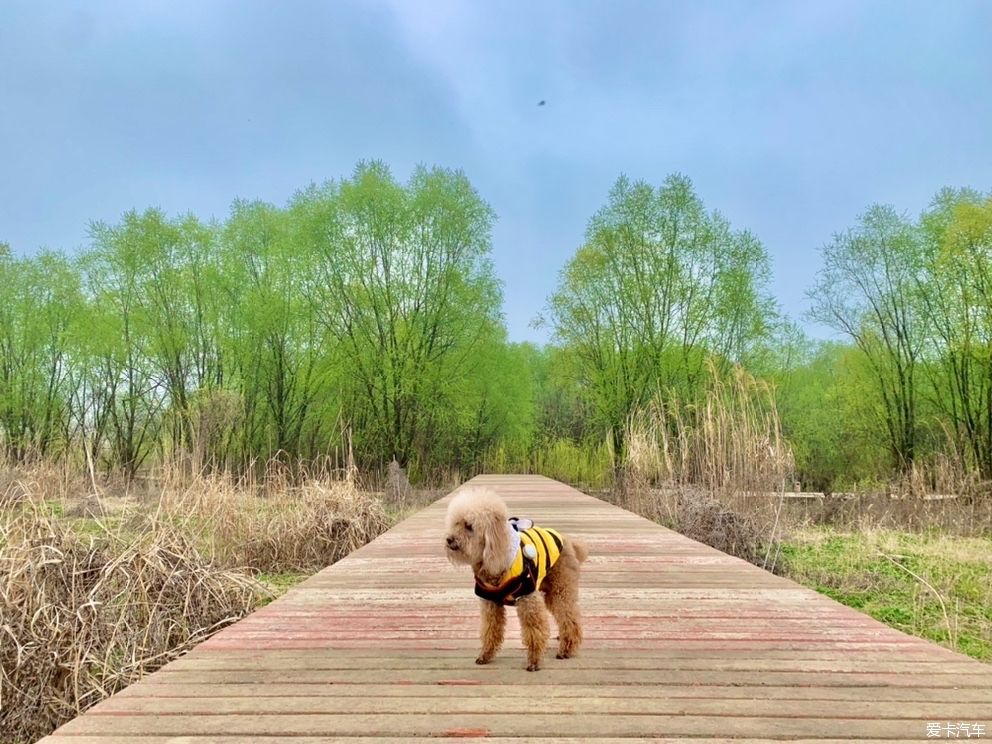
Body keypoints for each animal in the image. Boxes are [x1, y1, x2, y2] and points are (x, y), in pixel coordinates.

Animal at [444, 486, 588, 672]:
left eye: (469, 526)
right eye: (455, 523)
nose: (449, 539)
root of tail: (568, 541)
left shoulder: (527, 598)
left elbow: (534, 631)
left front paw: (534, 662)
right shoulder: (490, 602)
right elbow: (490, 629)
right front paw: (485, 655)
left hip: (560, 589)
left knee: (570, 618)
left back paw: (566, 650)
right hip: (551, 591)